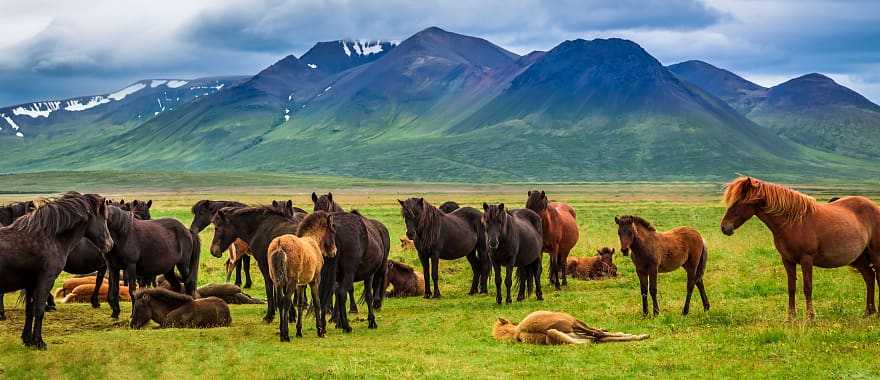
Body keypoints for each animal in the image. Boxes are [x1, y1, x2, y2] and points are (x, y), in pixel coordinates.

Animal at [0, 191, 113, 348]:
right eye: (104, 219)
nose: (110, 244)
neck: (48, 237)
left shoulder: (30, 284)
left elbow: (29, 311)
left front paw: (27, 340)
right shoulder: (45, 280)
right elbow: (39, 310)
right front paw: (39, 342)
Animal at [266, 212, 336, 340]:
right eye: (333, 231)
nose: (334, 252)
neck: (312, 240)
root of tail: (279, 244)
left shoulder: (301, 284)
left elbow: (299, 304)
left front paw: (299, 331)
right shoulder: (315, 281)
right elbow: (317, 302)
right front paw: (320, 331)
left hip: (277, 281)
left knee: (280, 301)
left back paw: (282, 331)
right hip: (291, 282)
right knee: (286, 302)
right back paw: (285, 335)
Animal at [720, 177, 880, 320]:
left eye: (738, 202)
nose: (724, 227)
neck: (793, 222)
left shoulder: (806, 260)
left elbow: (807, 287)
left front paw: (810, 317)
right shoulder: (787, 260)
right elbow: (791, 288)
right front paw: (790, 317)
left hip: (875, 255)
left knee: (876, 276)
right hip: (859, 258)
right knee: (869, 277)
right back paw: (869, 312)